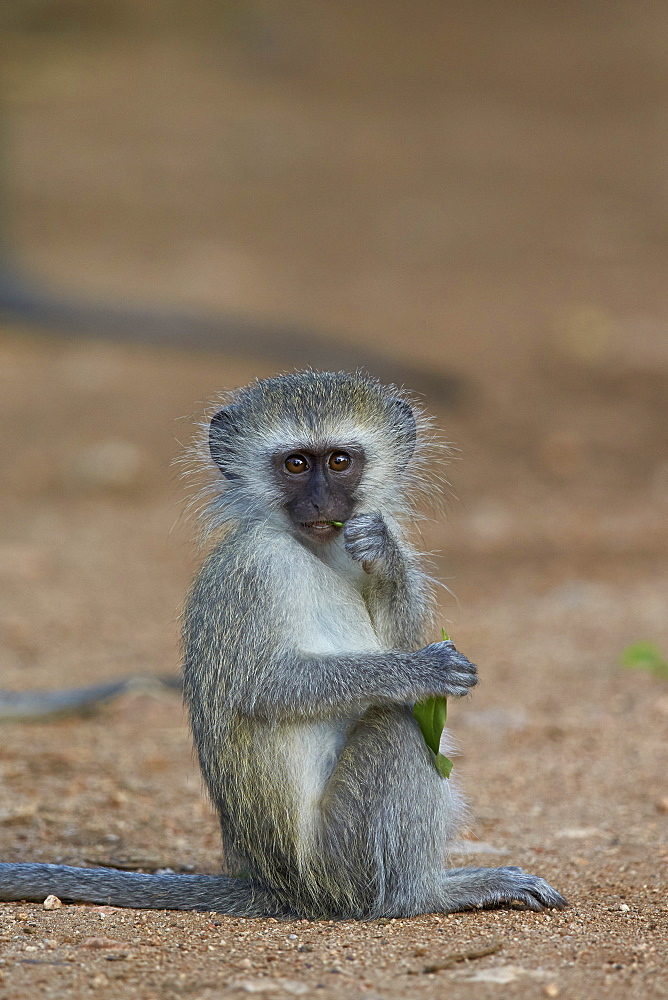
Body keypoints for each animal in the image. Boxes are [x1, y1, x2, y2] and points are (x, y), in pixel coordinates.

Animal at [0, 372, 568, 916]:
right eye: (296, 464)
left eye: (339, 461)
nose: (319, 502)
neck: (313, 548)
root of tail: (279, 886)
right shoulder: (259, 568)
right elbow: (266, 685)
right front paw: (423, 671)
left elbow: (396, 629)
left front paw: (381, 550)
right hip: (342, 860)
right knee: (399, 728)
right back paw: (424, 895)